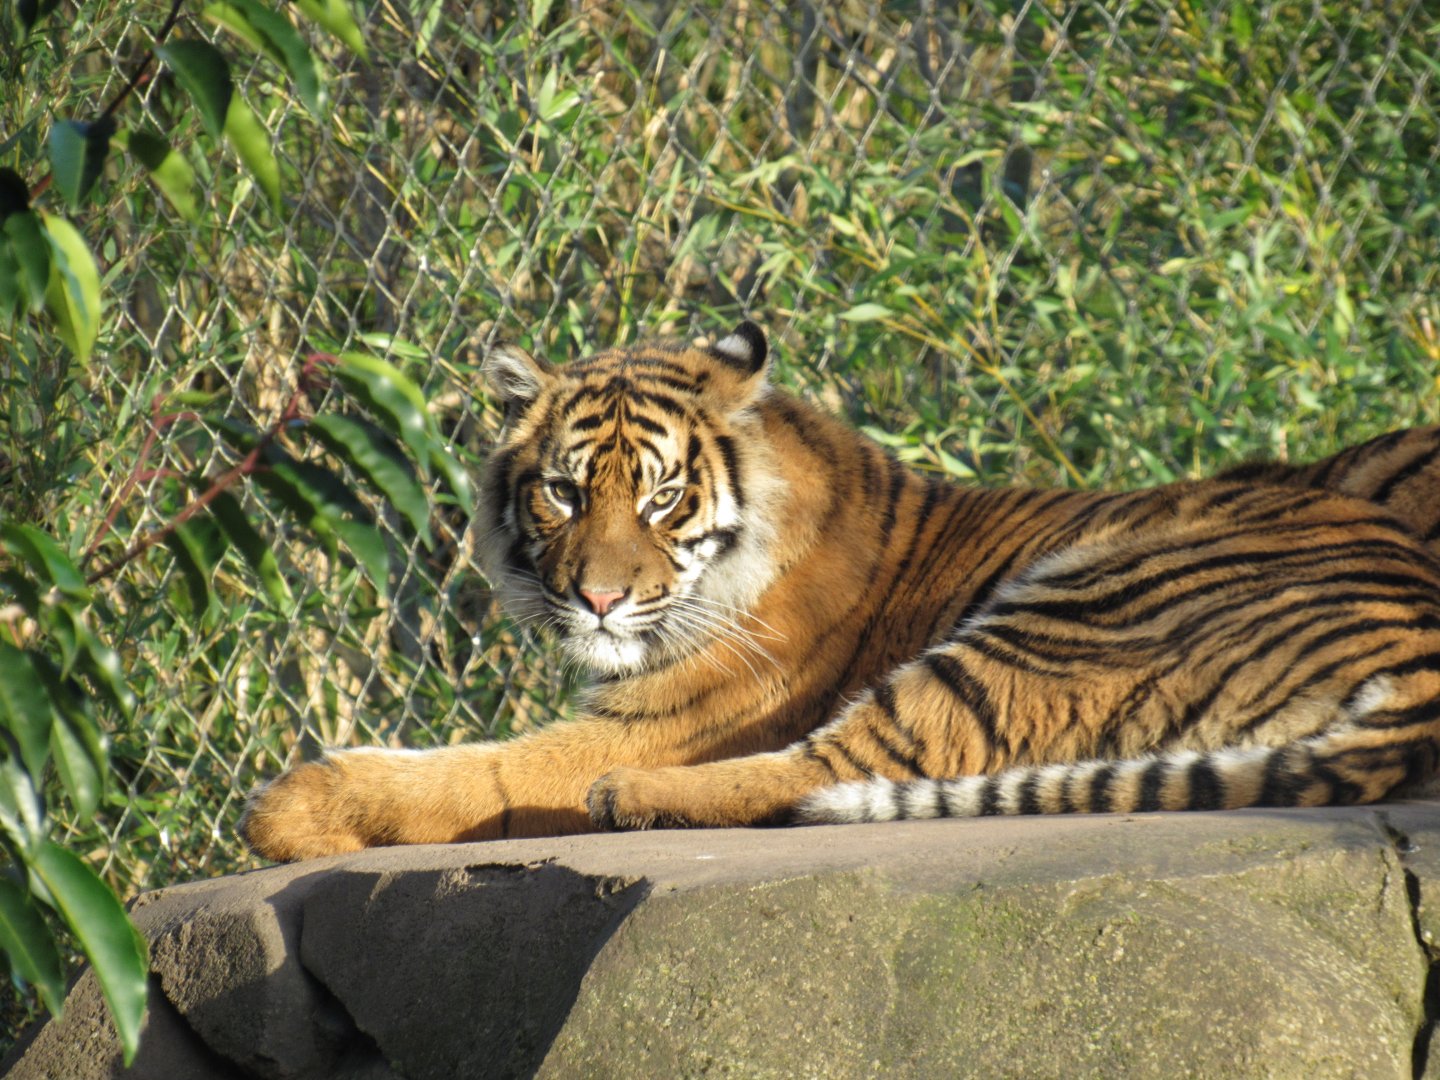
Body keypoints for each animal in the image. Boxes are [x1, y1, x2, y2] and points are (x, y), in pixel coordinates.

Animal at [239, 321, 1440, 862]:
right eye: (565, 492)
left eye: (663, 498)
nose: (599, 602)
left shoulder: (663, 718)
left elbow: (475, 770)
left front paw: (290, 810)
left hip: (1076, 606)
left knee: (837, 766)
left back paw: (628, 799)